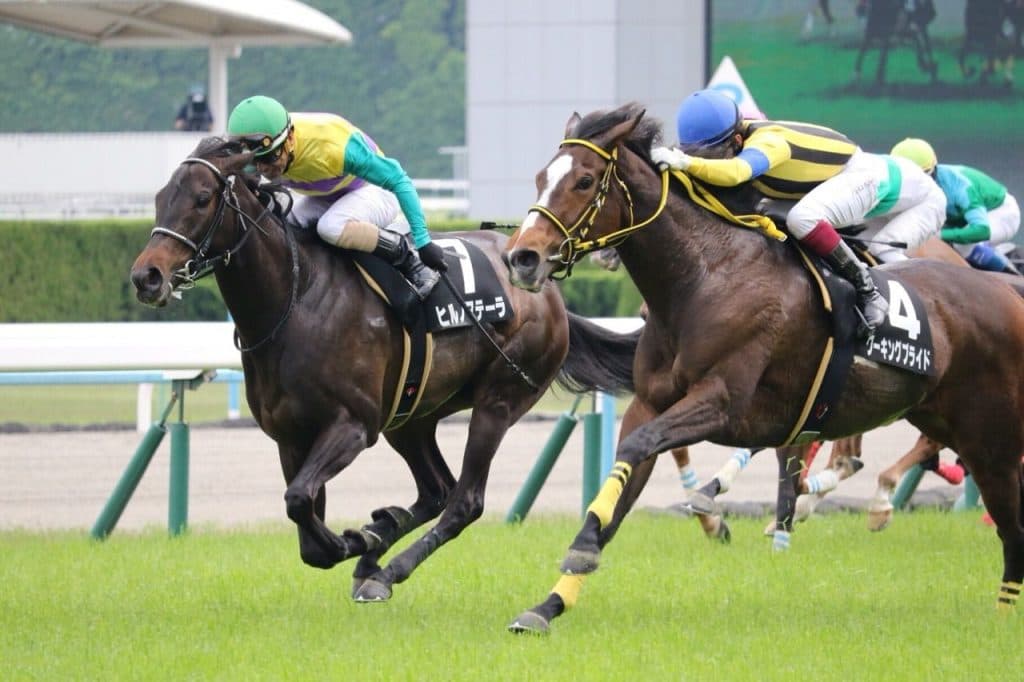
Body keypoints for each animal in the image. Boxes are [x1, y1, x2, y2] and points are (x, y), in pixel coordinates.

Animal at [129, 136, 640, 603]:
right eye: (159, 197)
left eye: (202, 198)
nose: (146, 276)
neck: (297, 299)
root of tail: (546, 289)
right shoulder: (290, 437)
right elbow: (306, 528)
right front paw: (364, 536)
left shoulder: (353, 425)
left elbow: (300, 504)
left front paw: (354, 539)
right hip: (411, 415)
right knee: (437, 490)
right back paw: (377, 554)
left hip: (498, 400)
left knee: (464, 501)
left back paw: (388, 567)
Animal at [502, 102, 1024, 634]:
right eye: (542, 177)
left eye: (584, 181)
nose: (521, 257)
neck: (702, 279)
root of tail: (1006, 292)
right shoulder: (649, 403)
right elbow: (625, 479)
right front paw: (550, 602)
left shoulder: (721, 402)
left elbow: (642, 447)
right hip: (940, 418)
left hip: (992, 438)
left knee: (1010, 525)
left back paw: (998, 608)